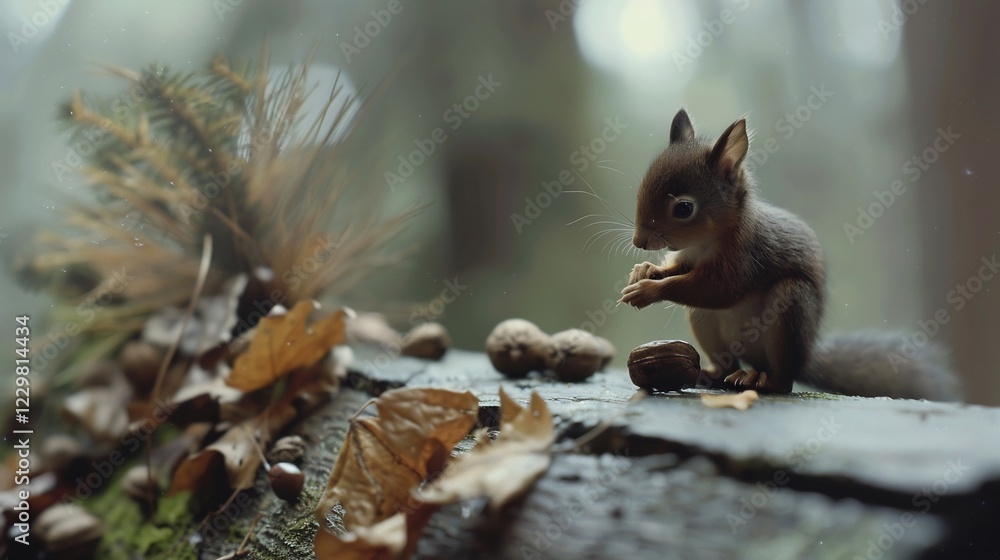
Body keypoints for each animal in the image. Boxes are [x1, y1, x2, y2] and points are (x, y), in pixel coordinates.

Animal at [619, 109, 962, 401]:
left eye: (684, 208)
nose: (639, 241)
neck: (707, 240)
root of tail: (805, 357)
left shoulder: (745, 258)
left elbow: (716, 289)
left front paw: (648, 290)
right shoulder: (691, 257)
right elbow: (681, 270)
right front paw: (645, 271)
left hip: (791, 309)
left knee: (783, 380)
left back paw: (763, 380)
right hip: (706, 323)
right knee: (727, 363)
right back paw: (713, 374)